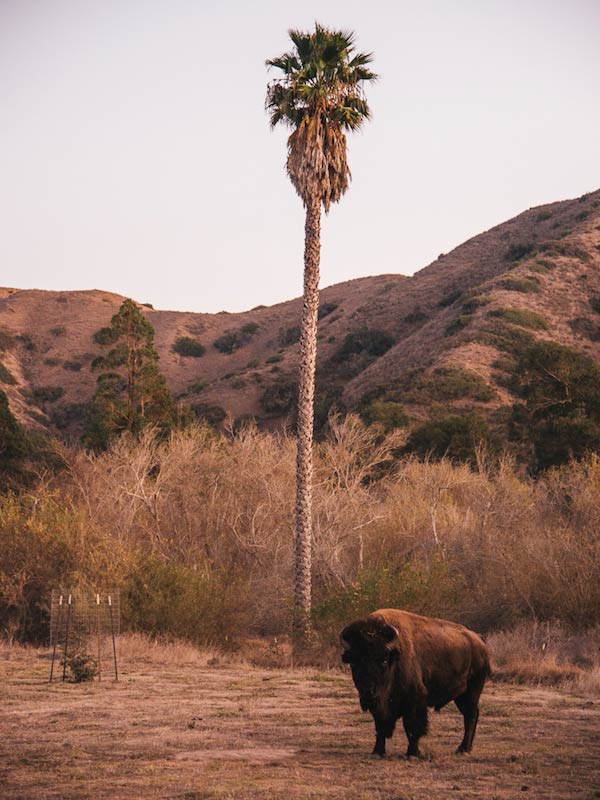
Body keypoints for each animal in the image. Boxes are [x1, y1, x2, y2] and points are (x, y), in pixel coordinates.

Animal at [340, 612, 490, 756]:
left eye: (384, 661)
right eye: (354, 663)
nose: (369, 692)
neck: (394, 659)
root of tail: (479, 640)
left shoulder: (414, 700)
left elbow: (412, 727)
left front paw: (413, 752)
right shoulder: (378, 706)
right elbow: (380, 727)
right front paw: (378, 751)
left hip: (472, 690)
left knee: (470, 715)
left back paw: (463, 749)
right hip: (460, 696)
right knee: (471, 714)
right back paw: (466, 748)